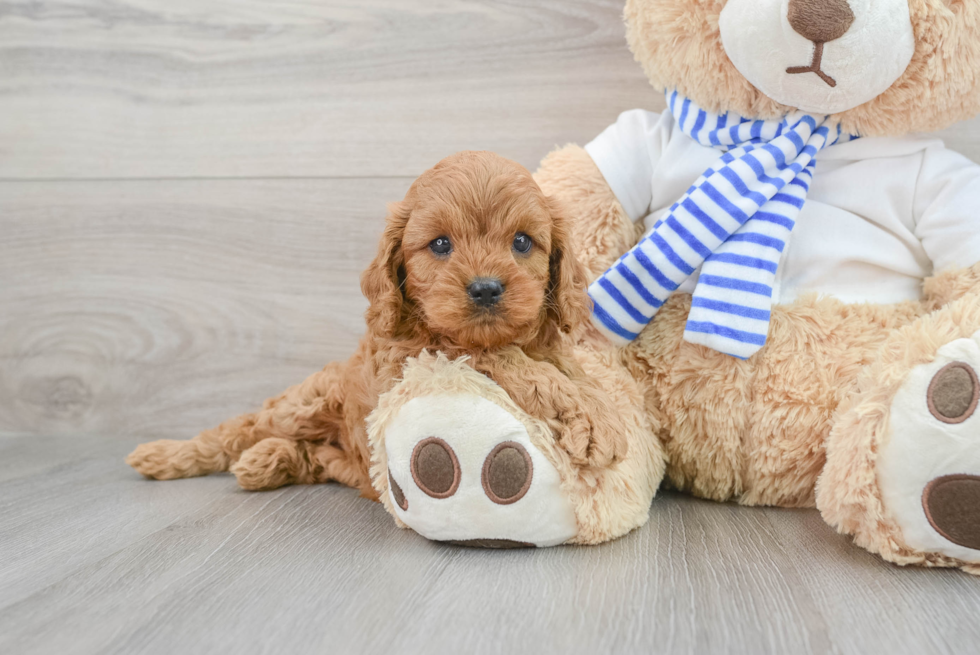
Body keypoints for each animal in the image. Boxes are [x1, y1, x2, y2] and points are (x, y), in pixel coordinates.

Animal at [128, 151, 628, 500]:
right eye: (440, 244)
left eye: (522, 242)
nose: (486, 289)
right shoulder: (414, 359)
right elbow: (505, 357)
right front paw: (592, 421)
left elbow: (574, 373)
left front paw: (598, 406)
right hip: (300, 405)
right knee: (237, 429)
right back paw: (166, 455)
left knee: (316, 457)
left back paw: (268, 461)